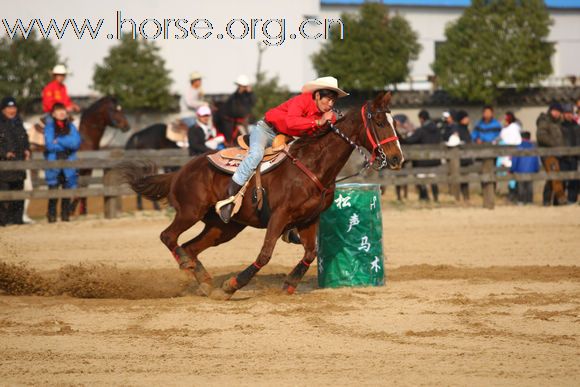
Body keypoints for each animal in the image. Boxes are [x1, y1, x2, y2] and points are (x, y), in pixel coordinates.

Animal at [121, 91, 404, 300]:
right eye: (379, 122)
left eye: (394, 123)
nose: (396, 159)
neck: (312, 166)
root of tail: (179, 171)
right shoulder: (279, 217)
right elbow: (265, 254)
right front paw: (233, 284)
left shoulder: (309, 220)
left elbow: (310, 253)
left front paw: (289, 284)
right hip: (191, 211)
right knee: (168, 237)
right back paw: (191, 269)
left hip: (223, 227)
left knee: (190, 247)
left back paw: (205, 283)